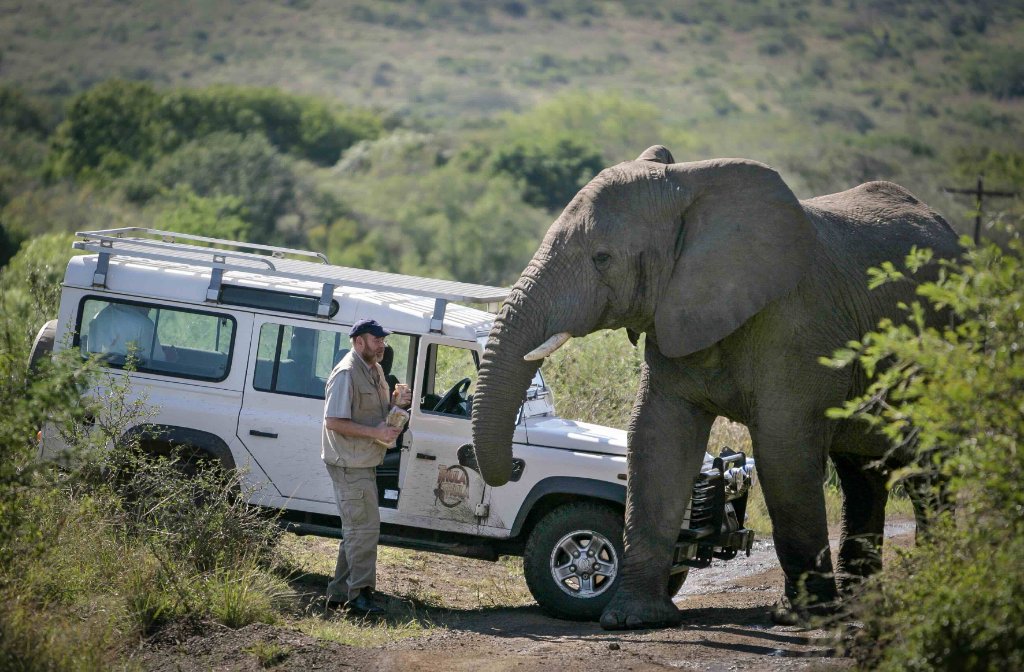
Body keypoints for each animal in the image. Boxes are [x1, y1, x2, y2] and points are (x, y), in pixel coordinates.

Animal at [470, 145, 961, 630]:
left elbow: (783, 453)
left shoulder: (799, 326)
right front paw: (633, 619)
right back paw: (861, 605)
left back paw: (927, 584)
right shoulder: (673, 311)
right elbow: (658, 442)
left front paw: (800, 618)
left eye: (602, 258)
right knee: (863, 473)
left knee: (927, 472)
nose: (510, 466)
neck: (690, 190)